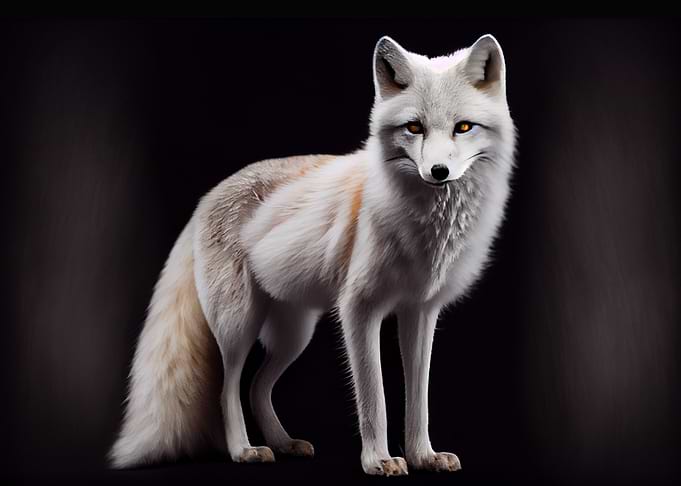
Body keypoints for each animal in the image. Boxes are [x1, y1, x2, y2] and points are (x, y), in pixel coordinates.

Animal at [109, 34, 516, 476]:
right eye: (414, 127)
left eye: (463, 127)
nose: (438, 172)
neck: (429, 227)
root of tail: (209, 196)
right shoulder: (358, 309)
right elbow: (374, 397)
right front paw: (378, 459)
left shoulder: (421, 312)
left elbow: (418, 398)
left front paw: (423, 456)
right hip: (239, 325)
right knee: (228, 388)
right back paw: (244, 450)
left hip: (294, 334)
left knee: (257, 387)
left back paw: (283, 442)